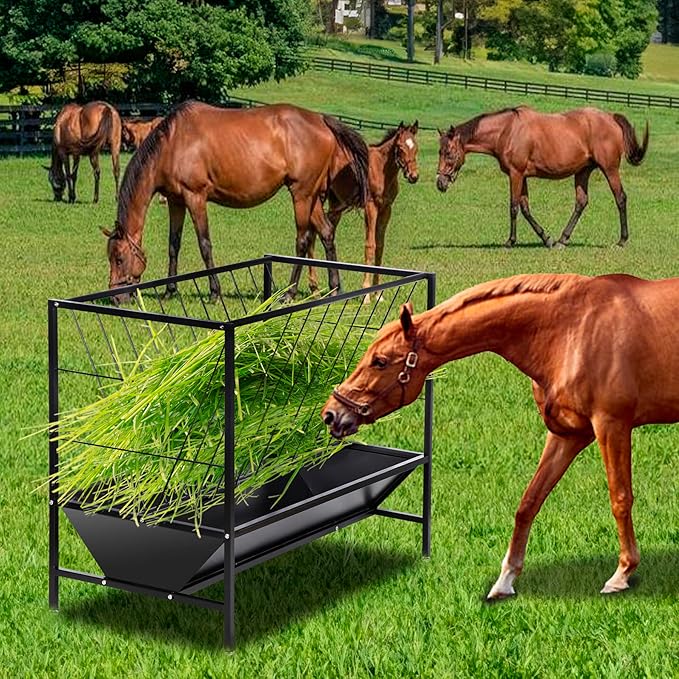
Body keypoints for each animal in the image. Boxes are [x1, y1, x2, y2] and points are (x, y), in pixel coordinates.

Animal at [104, 101, 368, 304]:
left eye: (119, 258)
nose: (116, 298)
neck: (173, 142)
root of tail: (321, 120)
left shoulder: (195, 197)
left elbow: (204, 245)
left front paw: (214, 293)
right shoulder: (176, 201)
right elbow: (173, 245)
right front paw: (170, 291)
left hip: (301, 195)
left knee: (303, 241)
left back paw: (289, 294)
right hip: (311, 198)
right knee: (326, 233)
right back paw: (335, 289)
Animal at [306, 122, 420, 299]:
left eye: (416, 148)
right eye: (400, 148)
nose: (413, 176)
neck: (381, 169)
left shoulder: (386, 209)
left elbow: (380, 246)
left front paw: (378, 294)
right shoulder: (371, 208)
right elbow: (370, 246)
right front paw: (366, 294)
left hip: (335, 207)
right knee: (312, 237)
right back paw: (315, 290)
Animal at [322, 273, 679, 598]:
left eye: (379, 361)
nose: (331, 414)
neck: (572, 331)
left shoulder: (611, 425)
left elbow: (620, 498)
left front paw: (622, 574)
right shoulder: (567, 434)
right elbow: (529, 502)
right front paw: (505, 580)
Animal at [436, 106, 649, 248]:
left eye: (449, 153)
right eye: (440, 151)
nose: (440, 183)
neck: (507, 131)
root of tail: (611, 117)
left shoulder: (515, 174)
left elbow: (513, 207)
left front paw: (510, 241)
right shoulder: (522, 176)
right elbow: (525, 208)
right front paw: (546, 239)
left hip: (610, 169)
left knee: (620, 198)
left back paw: (622, 240)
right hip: (582, 172)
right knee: (581, 202)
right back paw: (562, 240)